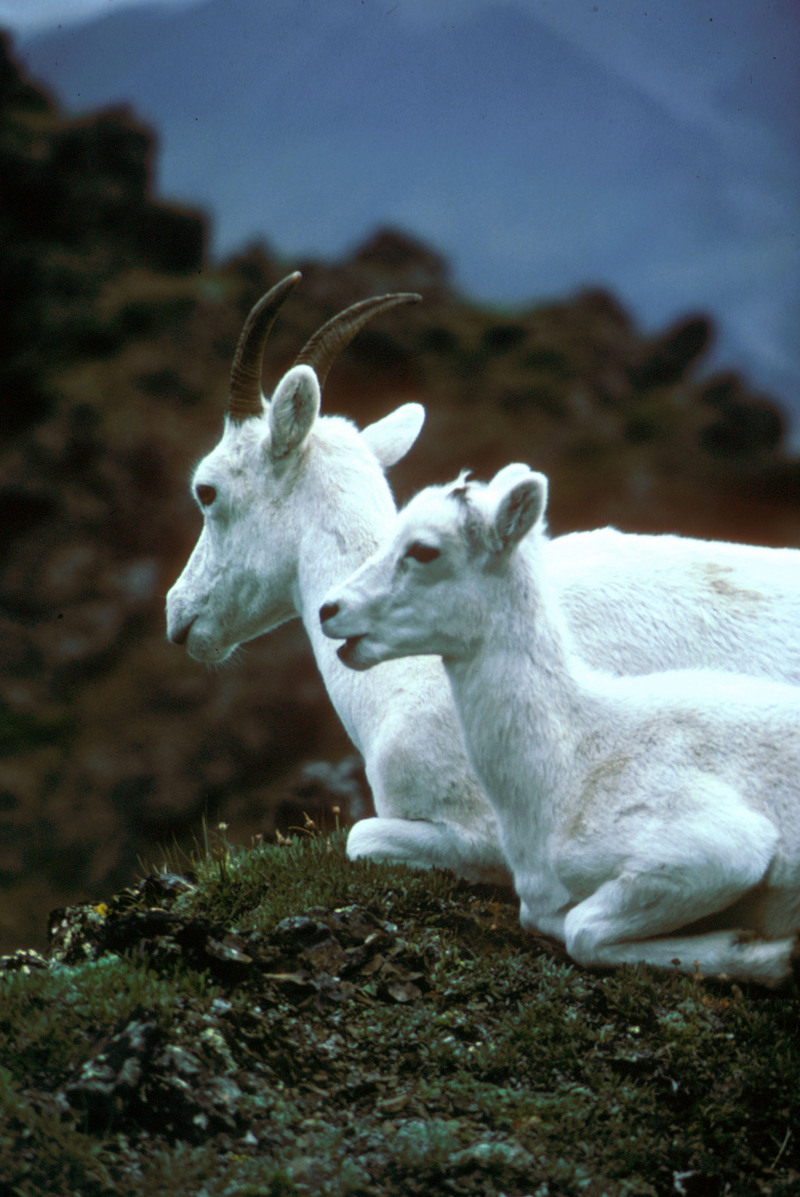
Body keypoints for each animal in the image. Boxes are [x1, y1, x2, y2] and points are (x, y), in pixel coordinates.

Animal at [318, 466, 800, 981]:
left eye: (424, 550)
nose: (330, 609)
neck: (565, 765)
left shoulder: (716, 850)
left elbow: (581, 930)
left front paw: (770, 955)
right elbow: (546, 917)